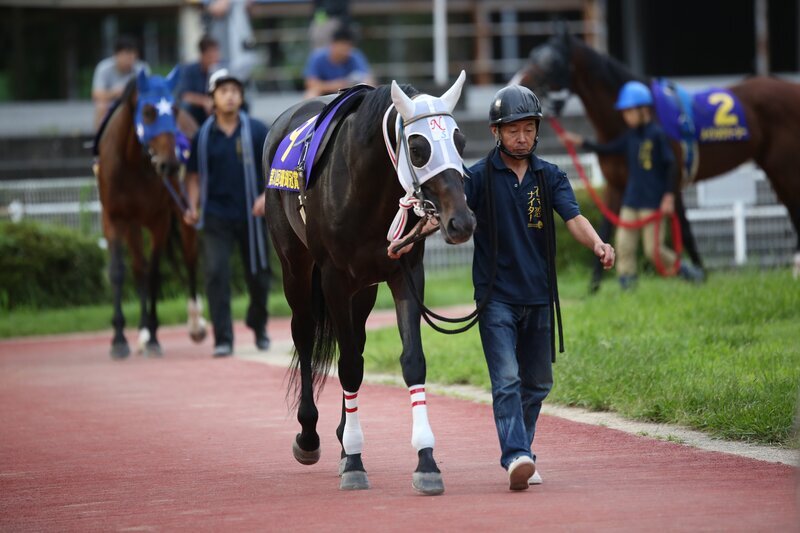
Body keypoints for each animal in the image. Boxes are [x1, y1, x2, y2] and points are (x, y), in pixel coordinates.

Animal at [96, 68, 207, 358]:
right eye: (147, 111)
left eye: (174, 108)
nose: (171, 164)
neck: (133, 163)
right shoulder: (113, 217)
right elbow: (120, 271)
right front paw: (120, 338)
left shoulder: (159, 219)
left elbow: (155, 273)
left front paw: (154, 335)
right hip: (134, 224)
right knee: (138, 267)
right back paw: (142, 332)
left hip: (186, 211)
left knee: (190, 260)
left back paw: (194, 324)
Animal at [263, 72, 475, 495]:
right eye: (418, 147)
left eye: (460, 142)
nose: (461, 221)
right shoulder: (333, 278)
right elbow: (347, 367)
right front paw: (355, 462)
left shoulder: (406, 272)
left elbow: (411, 361)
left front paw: (426, 460)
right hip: (296, 268)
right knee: (304, 334)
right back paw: (310, 436)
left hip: (364, 289)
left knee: (356, 342)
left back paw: (345, 442)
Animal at [511, 28, 800, 285]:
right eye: (533, 54)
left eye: (552, 61)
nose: (517, 83)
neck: (628, 125)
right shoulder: (617, 184)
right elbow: (604, 227)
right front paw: (593, 287)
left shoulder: (672, 181)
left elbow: (684, 230)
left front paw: (700, 274)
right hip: (775, 168)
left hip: (785, 166)